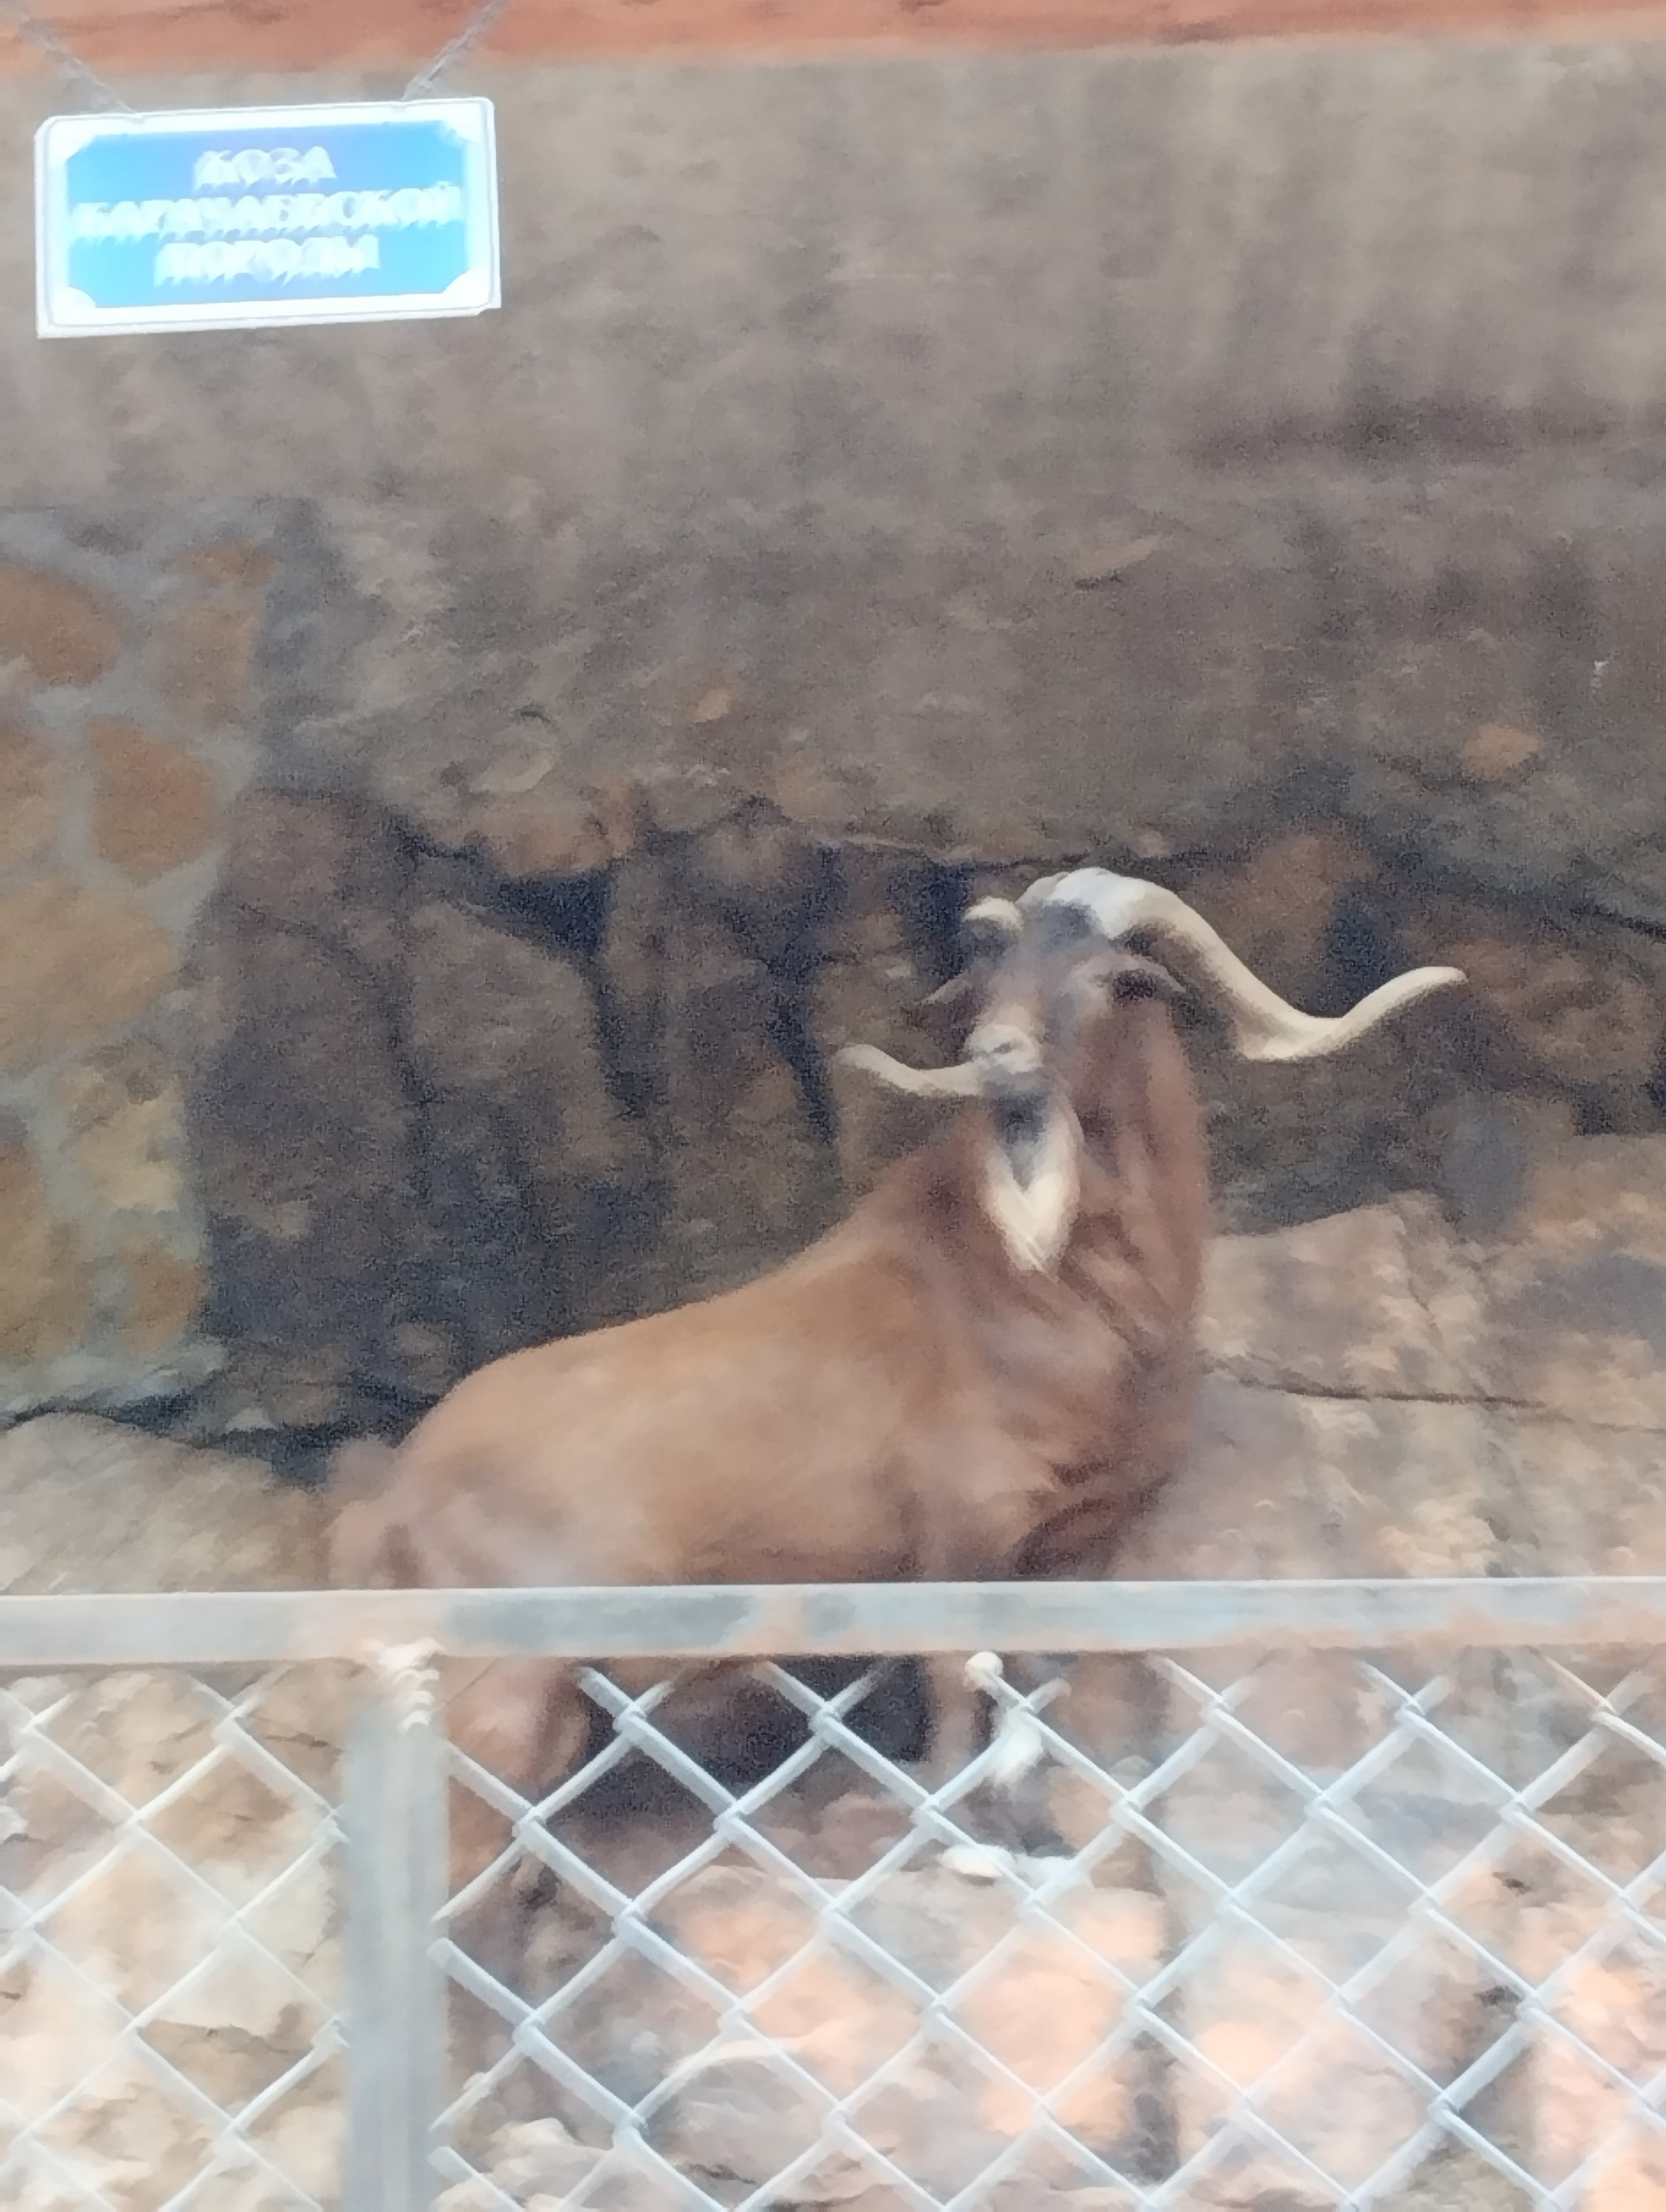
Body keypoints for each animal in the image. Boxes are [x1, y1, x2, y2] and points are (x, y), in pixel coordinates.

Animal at [330, 866, 1462, 1894]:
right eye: (990, 972)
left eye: (1108, 977)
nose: (994, 1057)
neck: (1032, 1286)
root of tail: (389, 1497)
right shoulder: (960, 1529)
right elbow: (959, 1689)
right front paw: (970, 1846)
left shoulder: (1082, 1539)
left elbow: (1034, 1693)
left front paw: (1038, 1839)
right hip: (492, 1683)